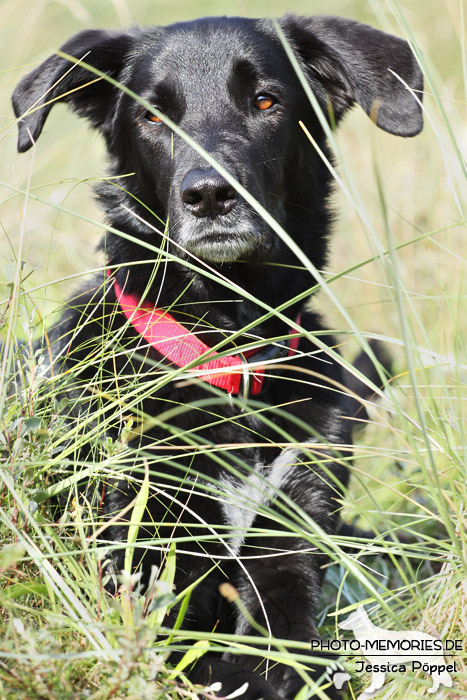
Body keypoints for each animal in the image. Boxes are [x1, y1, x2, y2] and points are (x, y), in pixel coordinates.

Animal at [12, 16, 424, 700]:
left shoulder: (289, 547)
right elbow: (207, 660)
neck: (227, 357)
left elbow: (292, 647)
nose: (208, 195)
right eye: (152, 116)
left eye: (266, 101)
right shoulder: (140, 569)